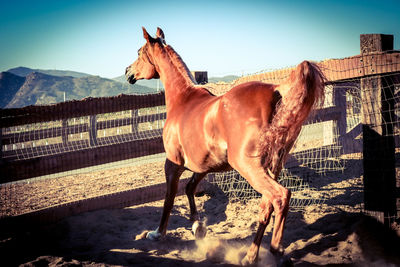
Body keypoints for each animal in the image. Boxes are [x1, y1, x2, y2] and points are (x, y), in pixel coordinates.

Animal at [125, 27, 324, 266]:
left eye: (139, 52)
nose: (127, 72)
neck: (183, 99)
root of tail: (276, 90)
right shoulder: (204, 165)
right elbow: (190, 188)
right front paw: (198, 228)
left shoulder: (173, 163)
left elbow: (169, 197)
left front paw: (157, 233)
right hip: (272, 166)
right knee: (266, 207)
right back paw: (251, 256)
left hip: (249, 166)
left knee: (281, 197)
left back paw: (275, 250)